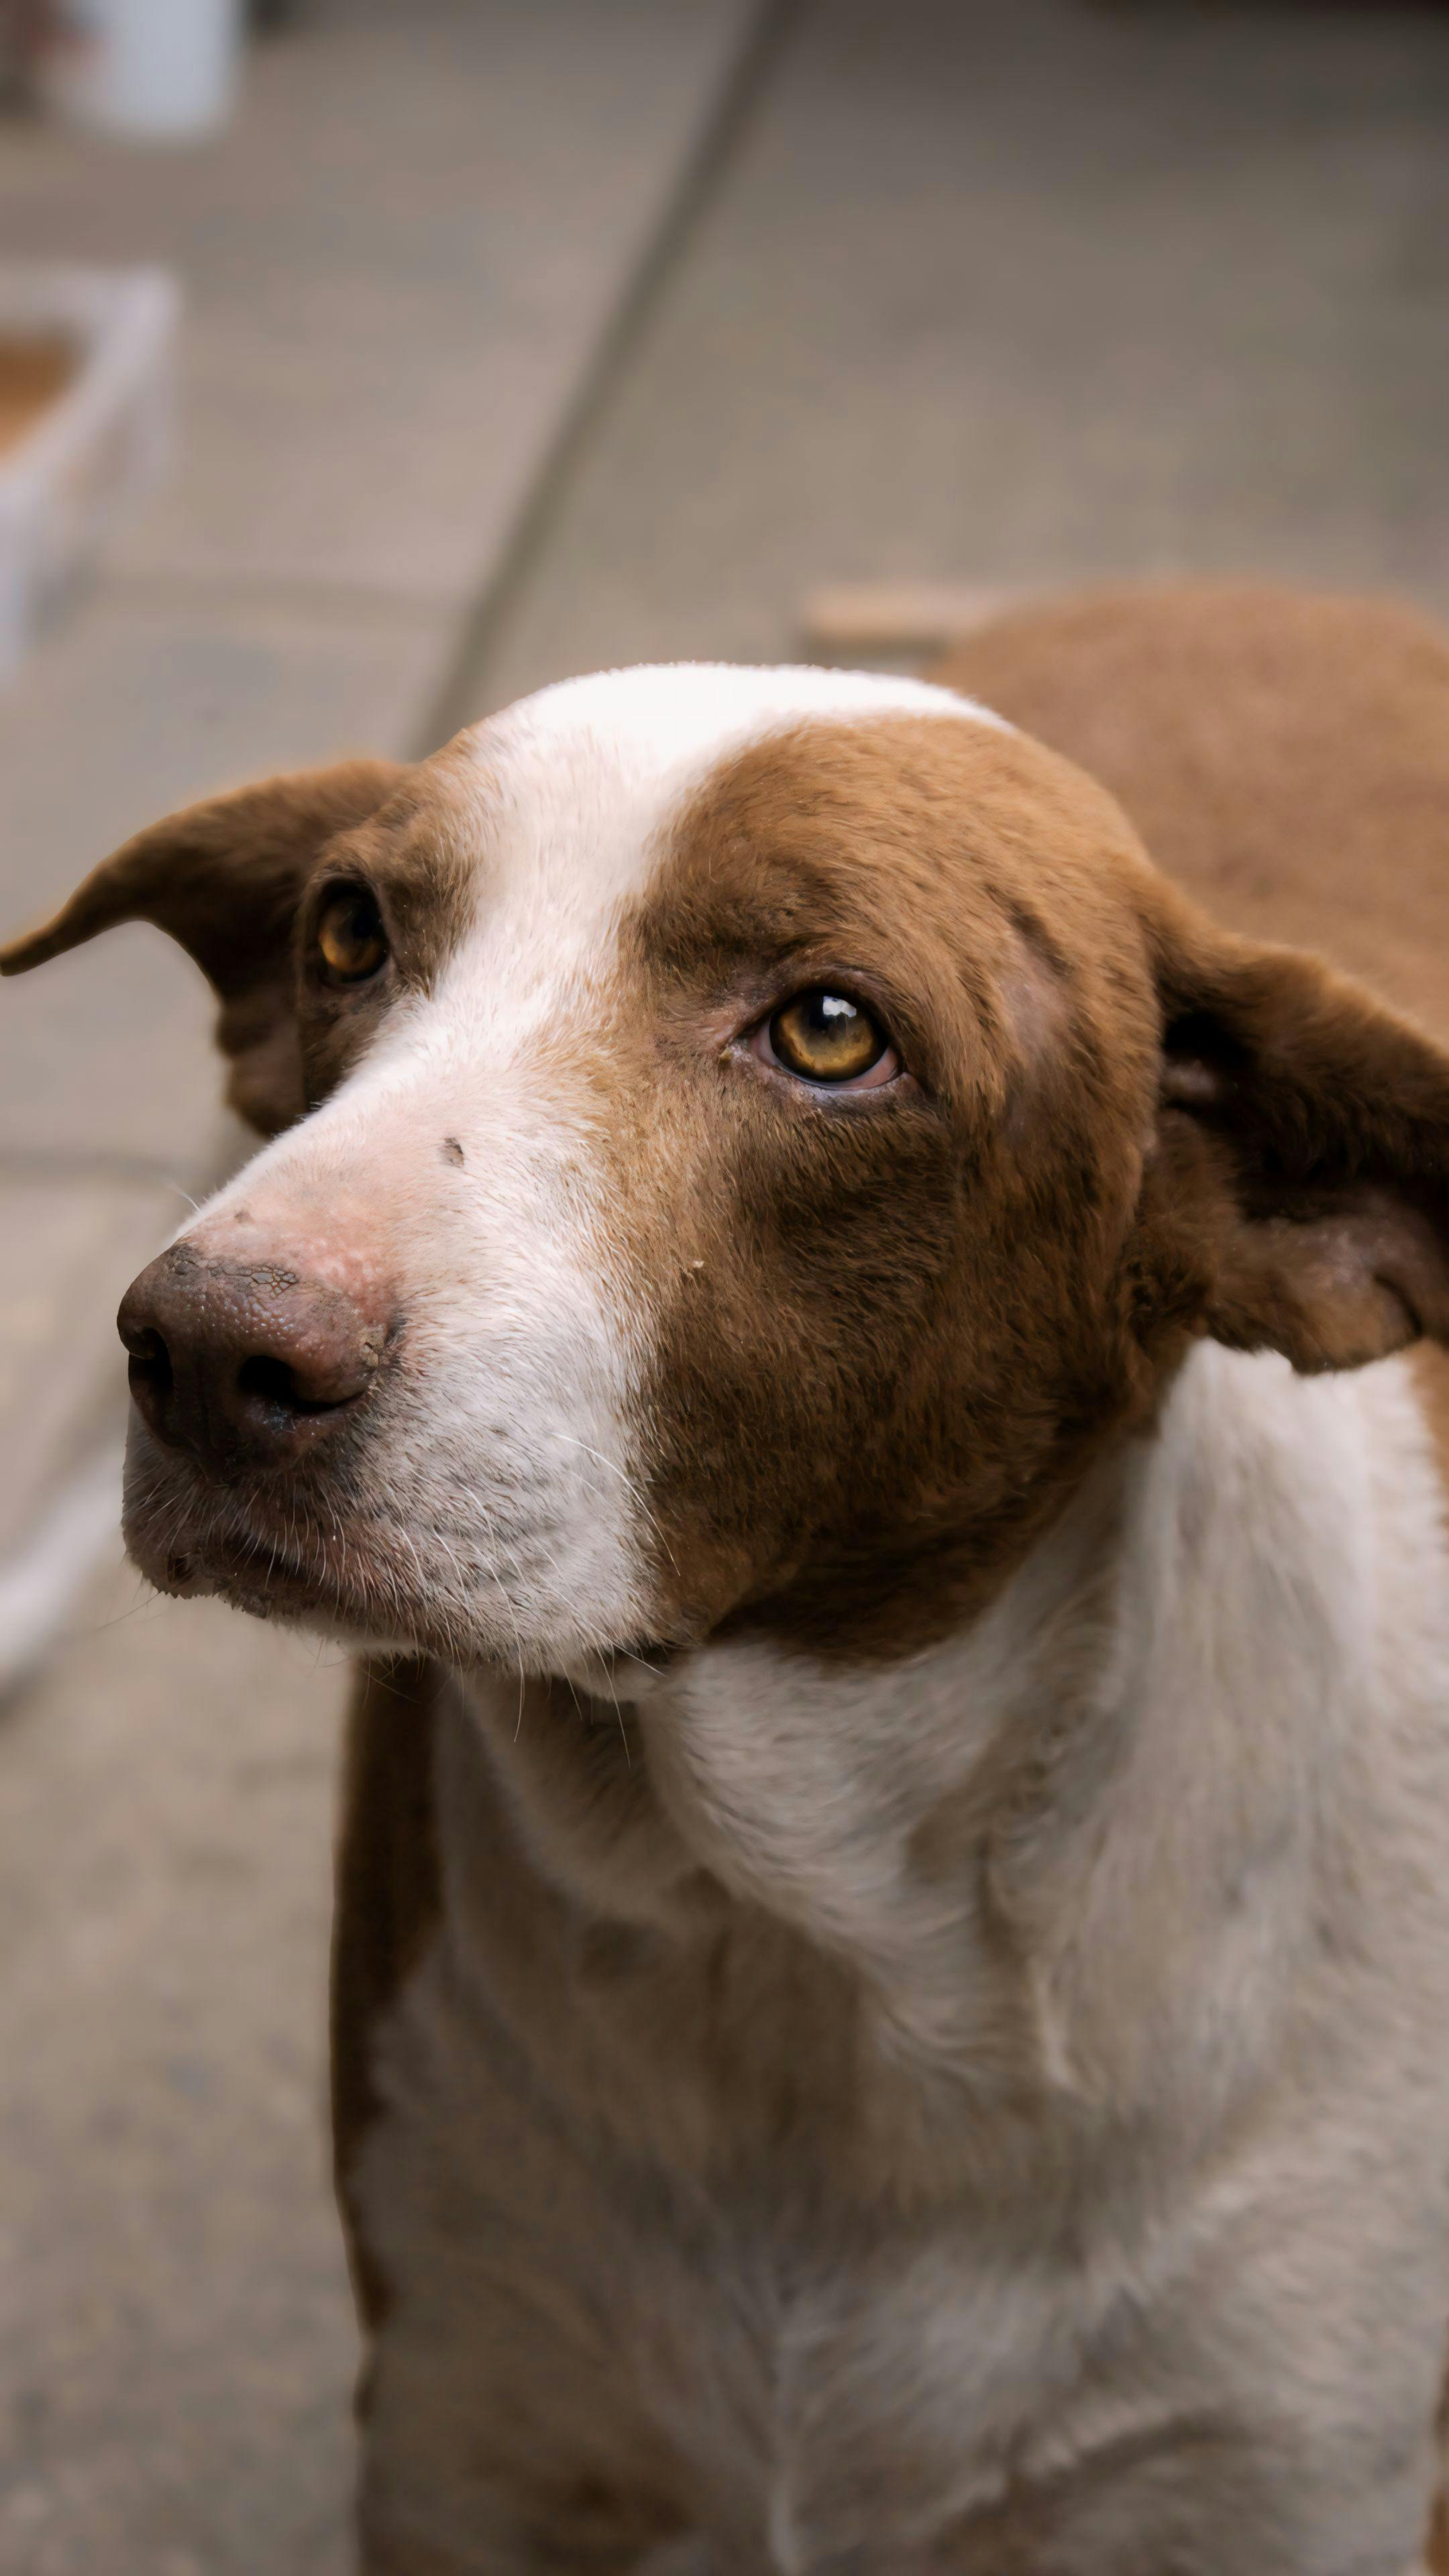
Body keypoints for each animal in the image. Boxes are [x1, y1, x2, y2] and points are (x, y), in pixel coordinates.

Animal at [8, 590, 1444, 2576]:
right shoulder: (469, 2437)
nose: (208, 1350)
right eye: (348, 931)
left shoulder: (1284, 2480)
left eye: (831, 1032)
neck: (806, 1948)